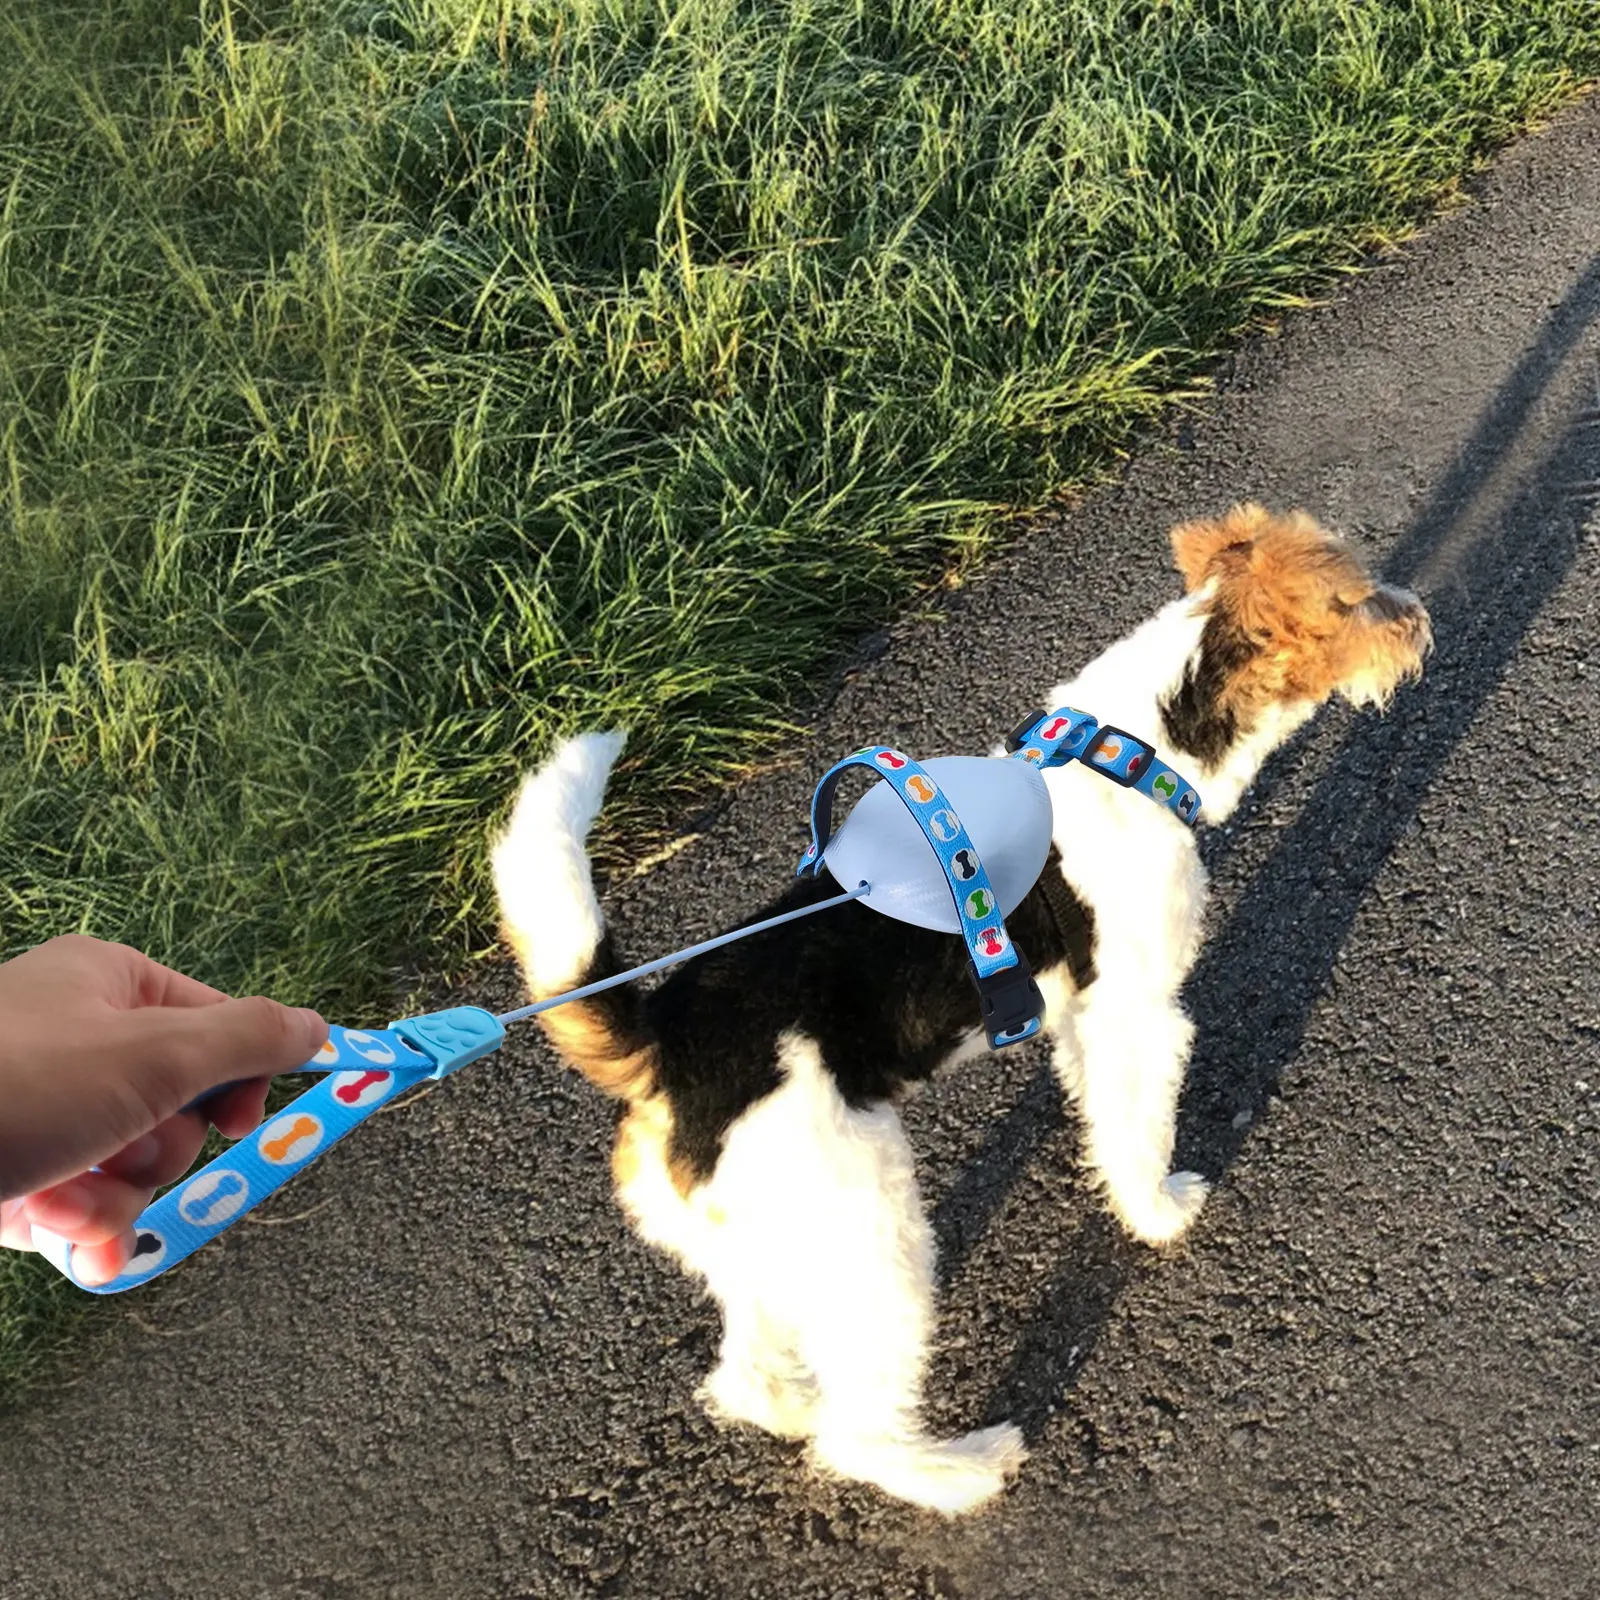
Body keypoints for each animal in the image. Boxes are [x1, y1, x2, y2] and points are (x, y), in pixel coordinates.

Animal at [492, 505, 1433, 1516]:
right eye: (1353, 599)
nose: (1419, 619)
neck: (1133, 753)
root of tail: (666, 1041)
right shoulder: (1141, 1013)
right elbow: (1140, 1133)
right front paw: (1158, 1213)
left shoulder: (1083, 1015)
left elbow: (1101, 1118)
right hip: (872, 1233)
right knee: (859, 1435)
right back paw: (964, 1469)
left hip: (762, 1243)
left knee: (748, 1374)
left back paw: (795, 1403)